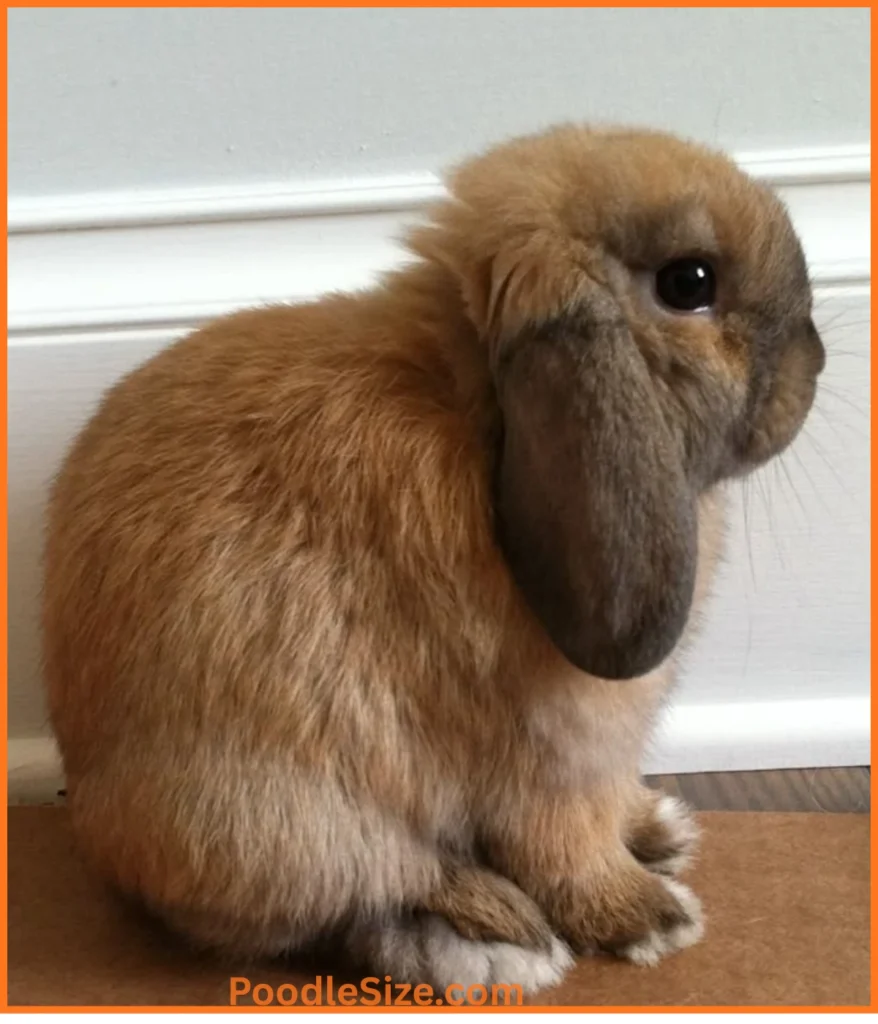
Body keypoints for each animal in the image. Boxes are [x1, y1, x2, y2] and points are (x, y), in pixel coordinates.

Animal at [42, 123, 824, 997]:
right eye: (690, 283)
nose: (817, 359)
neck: (482, 417)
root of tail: (103, 833)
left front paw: (652, 825)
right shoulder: (554, 759)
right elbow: (569, 846)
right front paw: (651, 918)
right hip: (284, 815)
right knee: (372, 893)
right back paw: (505, 931)